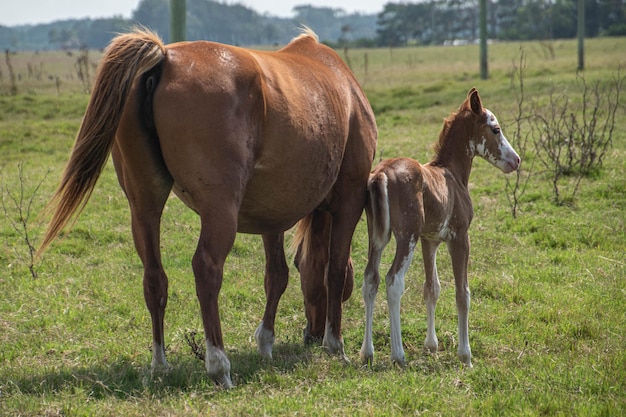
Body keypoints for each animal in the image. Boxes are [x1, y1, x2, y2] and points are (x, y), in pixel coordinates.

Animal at [37, 28, 376, 386]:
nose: (310, 335)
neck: (340, 88)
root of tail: (165, 59)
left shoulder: (272, 215)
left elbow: (277, 275)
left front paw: (266, 342)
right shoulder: (350, 199)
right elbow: (334, 269)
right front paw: (335, 344)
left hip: (144, 205)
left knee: (154, 277)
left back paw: (160, 363)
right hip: (220, 211)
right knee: (206, 270)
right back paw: (218, 364)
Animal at [358, 88, 520, 368]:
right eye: (496, 129)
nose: (516, 160)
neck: (452, 174)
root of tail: (381, 174)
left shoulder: (430, 240)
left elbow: (432, 288)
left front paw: (431, 346)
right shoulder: (459, 237)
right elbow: (462, 293)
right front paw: (465, 356)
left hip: (378, 236)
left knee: (371, 278)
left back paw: (367, 352)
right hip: (406, 236)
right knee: (393, 281)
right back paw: (398, 354)